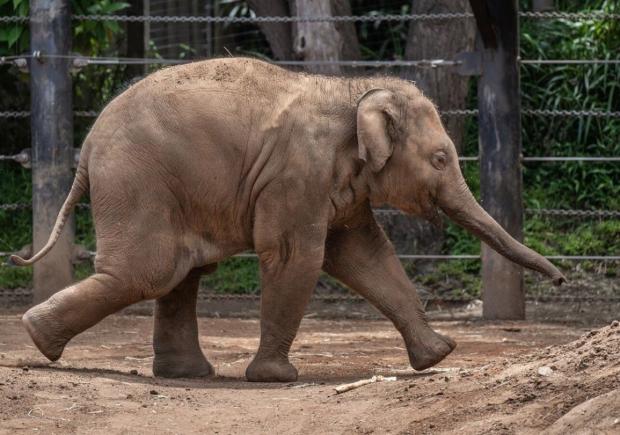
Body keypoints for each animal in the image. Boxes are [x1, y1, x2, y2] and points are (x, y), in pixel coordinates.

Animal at [10, 57, 568, 382]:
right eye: (440, 159)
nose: (562, 279)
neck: (354, 90)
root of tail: (84, 151)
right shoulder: (295, 175)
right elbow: (297, 256)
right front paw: (277, 377)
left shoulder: (336, 185)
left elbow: (366, 255)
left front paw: (438, 356)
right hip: (137, 182)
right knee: (148, 271)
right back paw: (38, 337)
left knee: (180, 272)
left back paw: (184, 374)